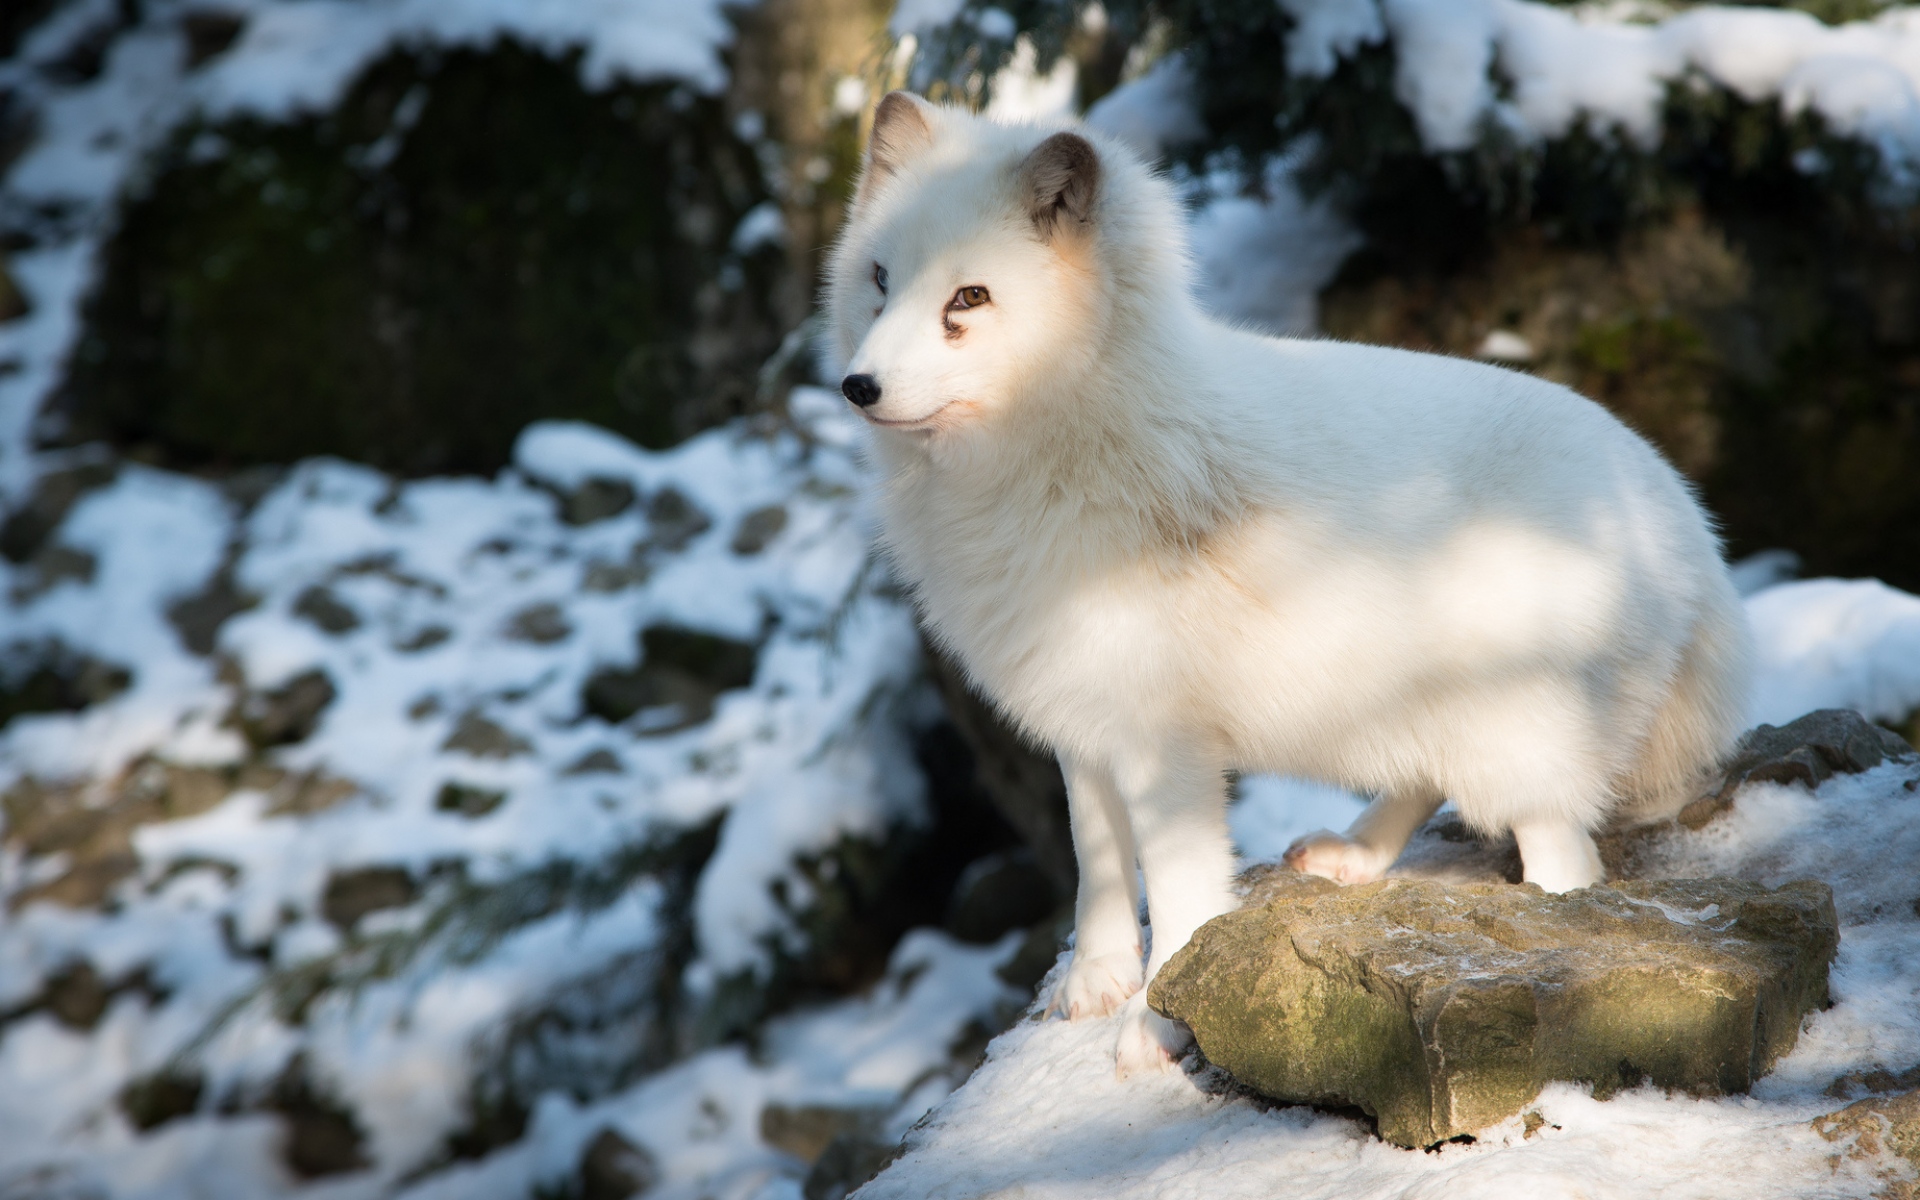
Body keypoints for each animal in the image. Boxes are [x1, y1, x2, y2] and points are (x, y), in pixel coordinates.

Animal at [825, 92, 1752, 1076]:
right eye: (880, 278)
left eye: (968, 298)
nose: (857, 386)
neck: (1069, 446)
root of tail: (1683, 517)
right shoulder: (1082, 720)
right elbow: (1097, 861)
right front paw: (1095, 984)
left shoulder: (1167, 747)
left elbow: (1179, 892)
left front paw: (1156, 1022)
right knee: (1426, 781)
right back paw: (1353, 857)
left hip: (1522, 739)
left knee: (1566, 861)